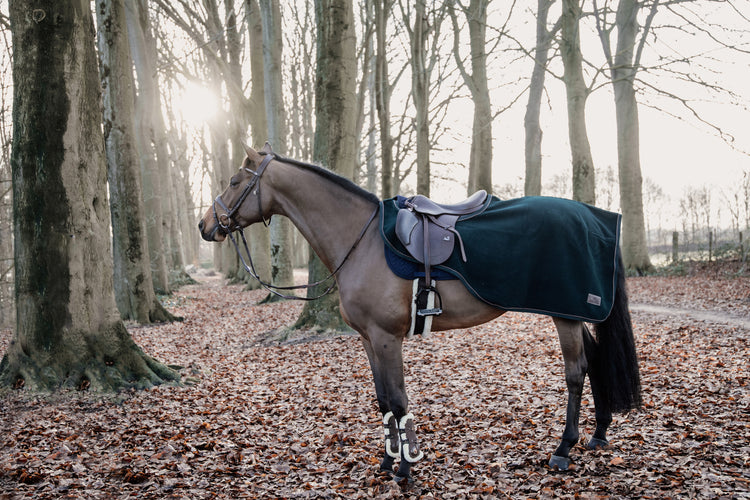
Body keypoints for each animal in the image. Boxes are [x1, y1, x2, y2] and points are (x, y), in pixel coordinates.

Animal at [198, 144, 640, 480]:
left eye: (234, 182)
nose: (205, 225)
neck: (362, 240)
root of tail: (593, 218)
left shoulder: (386, 338)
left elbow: (398, 401)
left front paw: (405, 470)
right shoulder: (368, 339)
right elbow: (381, 400)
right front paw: (386, 461)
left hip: (564, 314)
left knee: (576, 372)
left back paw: (563, 449)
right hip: (570, 313)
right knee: (595, 360)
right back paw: (599, 433)